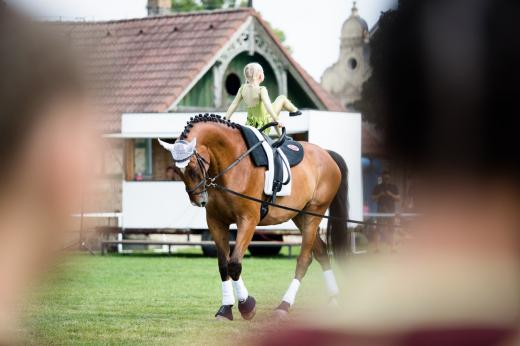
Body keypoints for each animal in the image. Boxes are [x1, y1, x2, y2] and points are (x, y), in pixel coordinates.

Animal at [156, 115, 348, 320]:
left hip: (314, 213)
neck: (232, 163)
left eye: (193, 166)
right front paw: (225, 308)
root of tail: (326, 153)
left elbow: (234, 264)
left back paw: (284, 306)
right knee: (321, 251)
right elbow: (223, 265)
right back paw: (333, 299)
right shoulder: (216, 222)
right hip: (300, 215)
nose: (198, 201)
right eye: (178, 171)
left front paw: (246, 306)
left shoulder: (248, 221)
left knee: (304, 259)